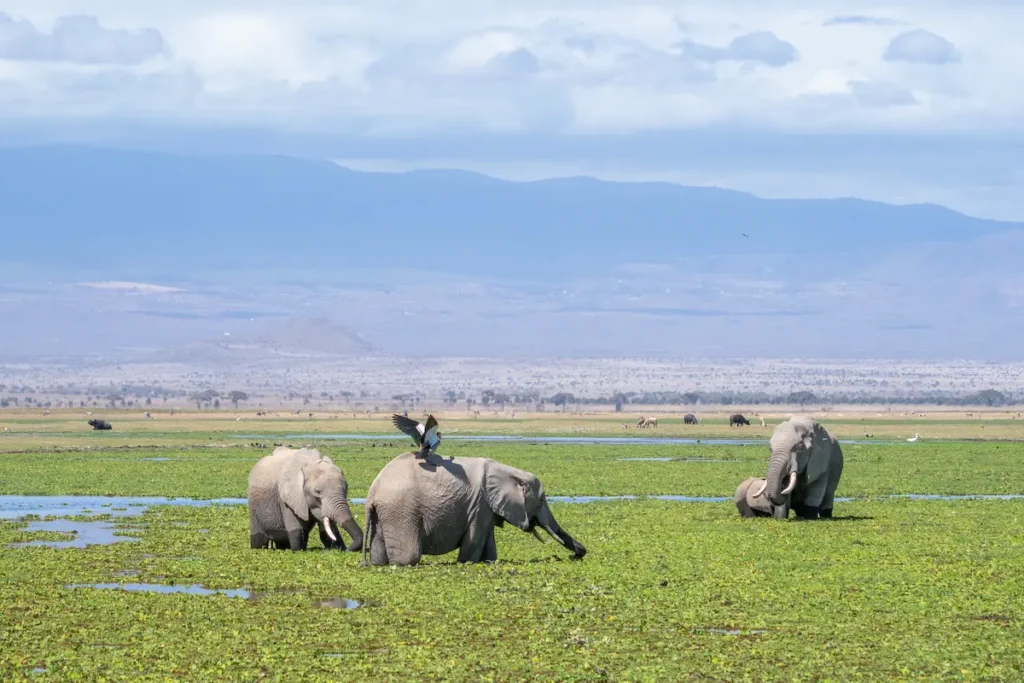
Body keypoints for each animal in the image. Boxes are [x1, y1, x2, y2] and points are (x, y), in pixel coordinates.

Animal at [363, 452, 586, 566]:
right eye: (541, 500)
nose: (576, 555)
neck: (509, 470)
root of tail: (373, 491)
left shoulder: (486, 505)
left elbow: (489, 543)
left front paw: (488, 561)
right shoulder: (479, 503)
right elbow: (474, 540)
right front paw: (466, 563)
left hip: (385, 513)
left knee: (378, 554)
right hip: (400, 510)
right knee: (409, 556)